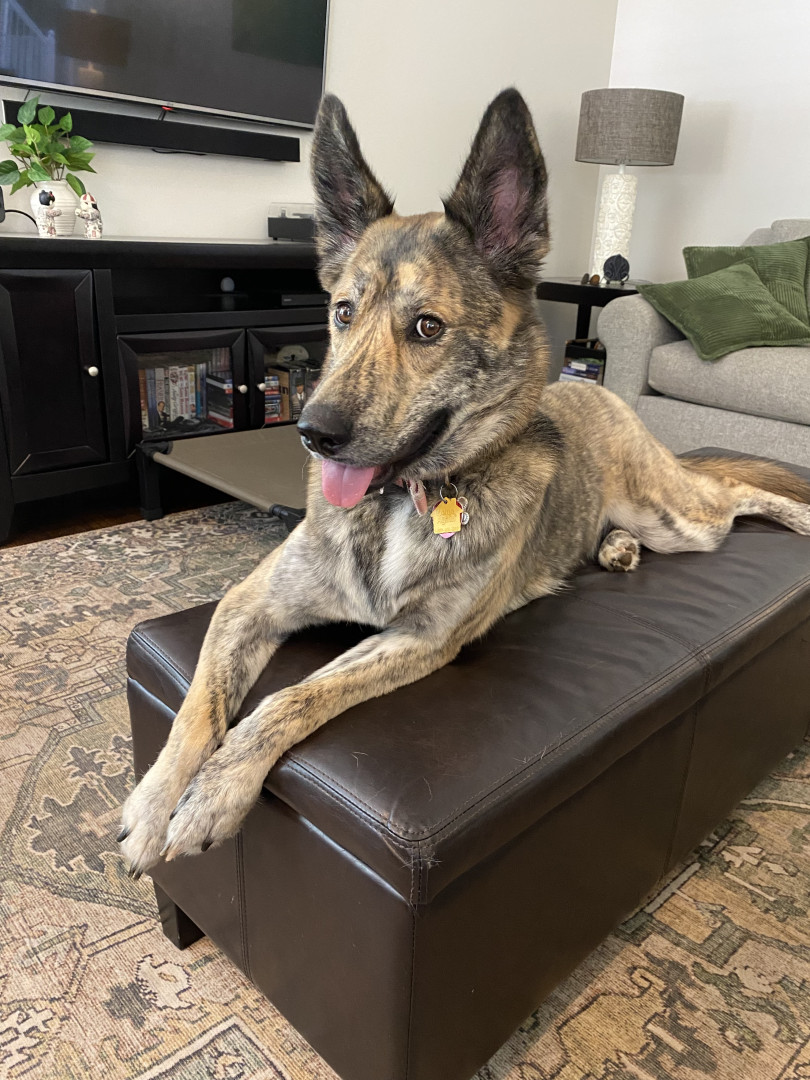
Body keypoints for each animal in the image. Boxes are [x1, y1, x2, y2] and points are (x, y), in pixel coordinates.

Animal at [119, 89, 810, 876]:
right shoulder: (248, 604)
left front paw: (214, 793)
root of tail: (596, 390)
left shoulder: (422, 639)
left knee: (737, 496)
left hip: (676, 516)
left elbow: (289, 699)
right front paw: (155, 799)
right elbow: (197, 703)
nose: (313, 431)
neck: (397, 504)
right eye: (342, 313)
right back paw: (614, 550)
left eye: (427, 327)